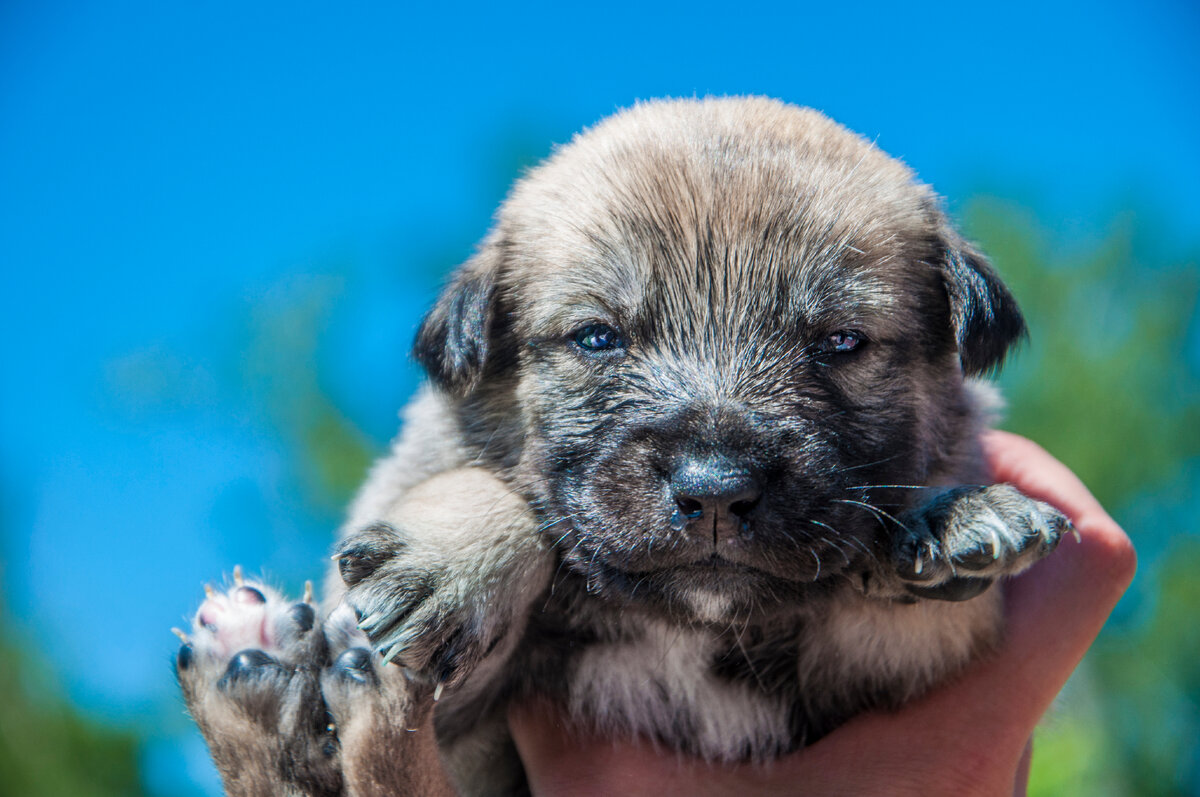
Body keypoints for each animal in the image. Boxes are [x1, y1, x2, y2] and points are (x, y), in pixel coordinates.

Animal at [175, 96, 1070, 792]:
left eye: (841, 343)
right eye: (598, 338)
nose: (715, 489)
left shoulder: (899, 688)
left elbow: (911, 614)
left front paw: (952, 520)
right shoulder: (476, 726)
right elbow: (499, 498)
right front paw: (455, 557)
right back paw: (249, 682)